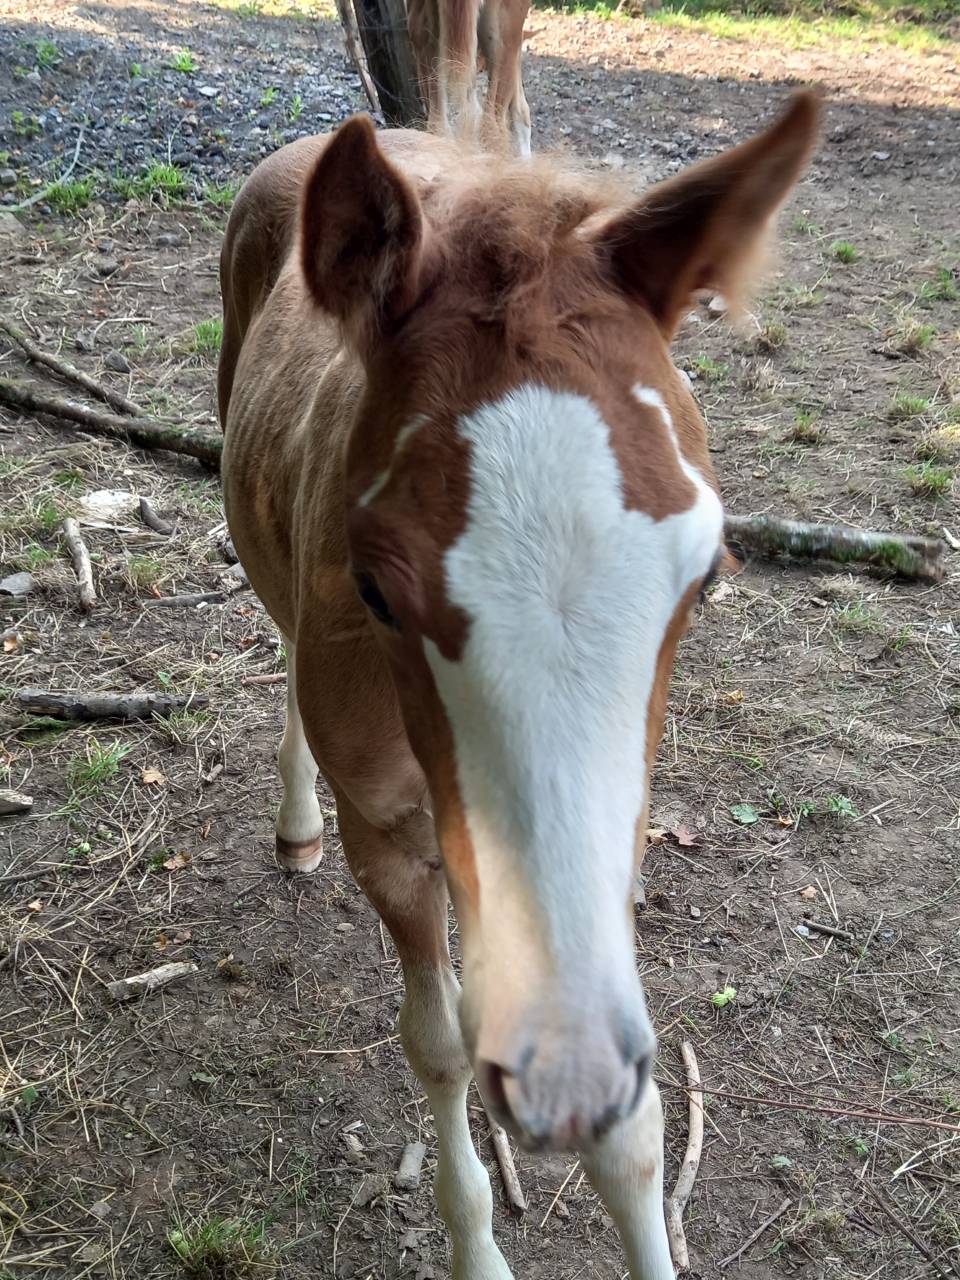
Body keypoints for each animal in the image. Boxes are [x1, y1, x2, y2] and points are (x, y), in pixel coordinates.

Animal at [218, 93, 819, 1278]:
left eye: (707, 572)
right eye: (374, 585)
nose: (563, 1074)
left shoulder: (612, 833)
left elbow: (632, 1115)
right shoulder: (388, 833)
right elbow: (441, 1043)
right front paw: (478, 1245)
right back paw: (295, 818)